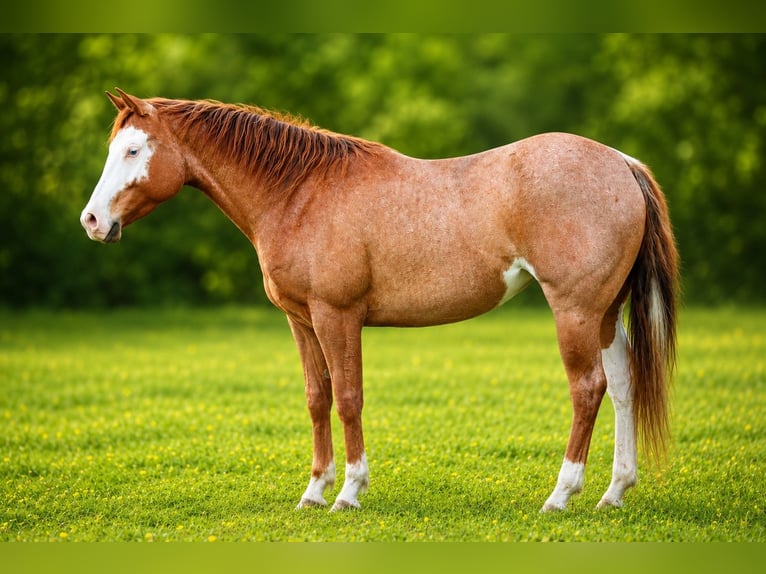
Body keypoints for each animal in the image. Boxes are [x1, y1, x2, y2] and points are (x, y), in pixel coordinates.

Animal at [81, 89, 678, 512]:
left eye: (134, 150)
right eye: (113, 149)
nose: (91, 221)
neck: (300, 193)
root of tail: (621, 163)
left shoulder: (337, 316)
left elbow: (348, 398)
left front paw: (348, 492)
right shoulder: (302, 321)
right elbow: (317, 398)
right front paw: (314, 491)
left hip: (574, 310)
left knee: (588, 389)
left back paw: (561, 495)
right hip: (604, 314)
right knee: (622, 386)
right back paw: (613, 493)